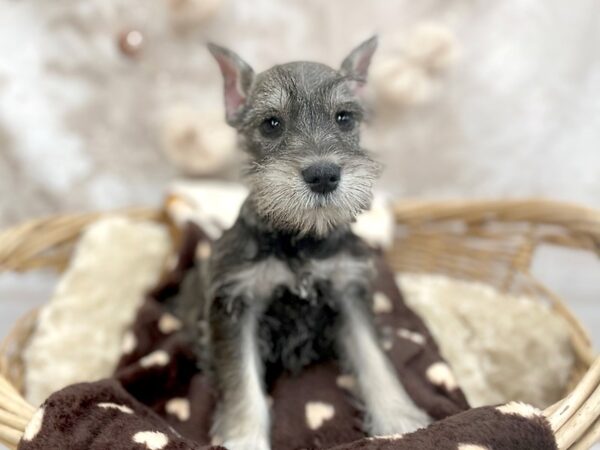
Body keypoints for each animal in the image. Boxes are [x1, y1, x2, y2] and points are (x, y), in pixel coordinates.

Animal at [205, 37, 432, 450]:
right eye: (271, 124)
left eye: (344, 118)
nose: (323, 174)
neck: (301, 242)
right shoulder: (236, 302)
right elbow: (242, 382)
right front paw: (244, 438)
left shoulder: (348, 291)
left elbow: (376, 361)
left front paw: (402, 422)